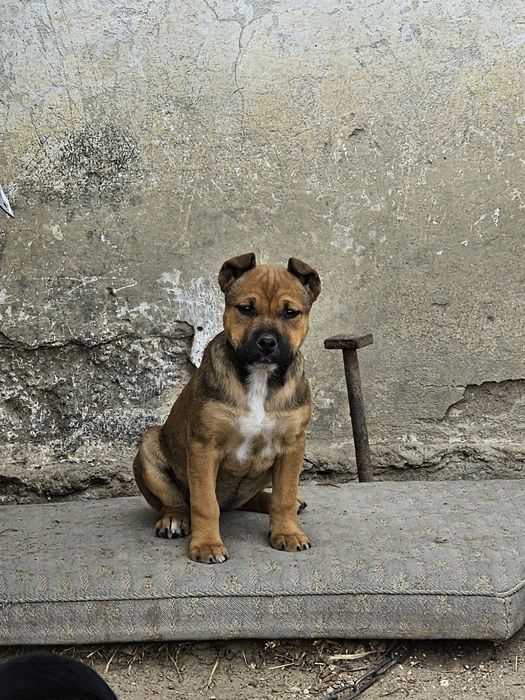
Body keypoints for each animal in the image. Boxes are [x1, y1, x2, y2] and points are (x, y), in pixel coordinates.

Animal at [133, 253, 321, 564]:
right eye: (246, 309)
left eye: (290, 313)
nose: (267, 342)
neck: (259, 377)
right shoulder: (204, 447)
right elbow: (204, 504)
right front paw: (207, 544)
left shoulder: (292, 446)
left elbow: (283, 495)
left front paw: (287, 532)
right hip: (149, 447)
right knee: (175, 502)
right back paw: (175, 520)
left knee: (258, 498)